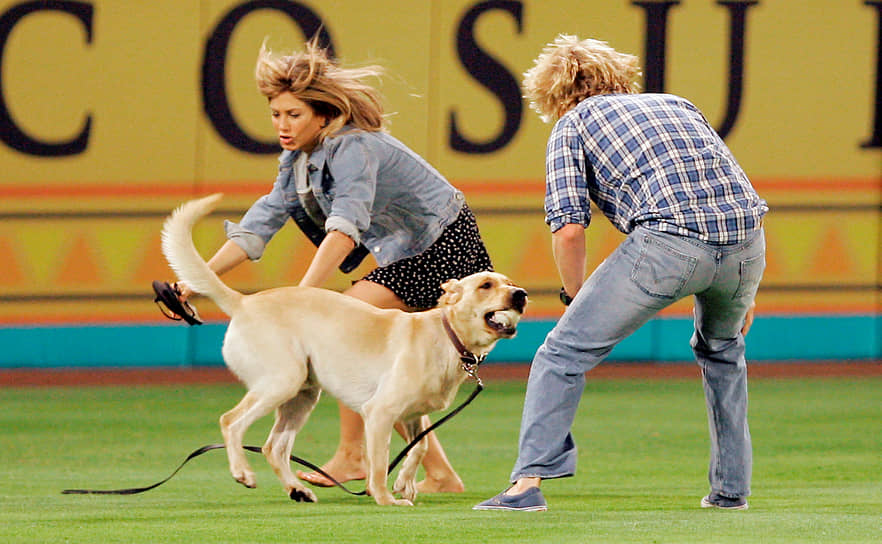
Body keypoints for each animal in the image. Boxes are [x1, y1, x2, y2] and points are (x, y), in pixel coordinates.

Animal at [162, 194, 524, 506]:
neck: (446, 336)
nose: (520, 294)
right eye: (486, 285)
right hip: (280, 382)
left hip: (302, 396)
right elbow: (379, 463)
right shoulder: (379, 412)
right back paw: (242, 471)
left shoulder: (412, 415)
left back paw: (297, 490)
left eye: (508, 282)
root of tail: (244, 302)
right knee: (231, 422)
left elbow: (419, 448)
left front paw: (404, 483)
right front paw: (386, 498)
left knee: (273, 448)